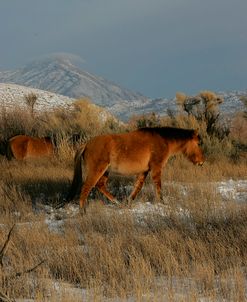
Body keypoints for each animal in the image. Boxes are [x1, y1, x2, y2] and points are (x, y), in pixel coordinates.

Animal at [66, 127, 205, 212]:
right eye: (198, 143)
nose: (202, 162)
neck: (164, 140)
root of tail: (86, 144)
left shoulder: (144, 171)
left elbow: (138, 187)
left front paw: (129, 201)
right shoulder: (156, 168)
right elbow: (158, 186)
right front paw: (162, 202)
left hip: (105, 171)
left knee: (100, 185)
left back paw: (117, 202)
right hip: (97, 170)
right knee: (87, 187)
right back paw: (82, 211)